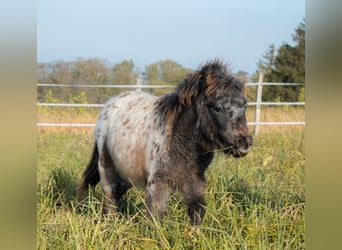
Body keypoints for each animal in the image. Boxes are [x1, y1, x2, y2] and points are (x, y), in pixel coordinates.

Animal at [78, 60, 254, 225]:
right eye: (217, 107)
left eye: (245, 105)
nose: (244, 143)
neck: (179, 142)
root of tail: (110, 105)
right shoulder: (157, 183)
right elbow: (155, 216)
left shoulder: (196, 182)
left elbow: (197, 212)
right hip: (106, 167)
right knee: (110, 198)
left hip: (127, 172)